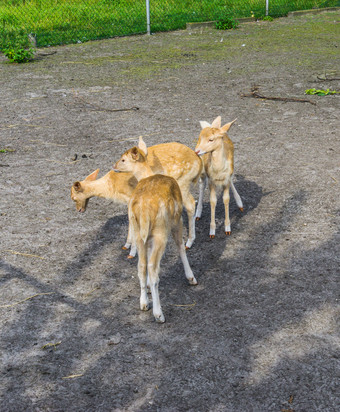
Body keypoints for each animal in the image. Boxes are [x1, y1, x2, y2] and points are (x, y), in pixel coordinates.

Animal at [113, 143, 197, 324]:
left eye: (123, 159)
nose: (113, 166)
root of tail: (144, 209)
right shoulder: (177, 220)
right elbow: (181, 247)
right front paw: (191, 277)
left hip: (139, 234)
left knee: (141, 265)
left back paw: (144, 303)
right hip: (160, 232)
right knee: (152, 268)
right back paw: (159, 314)